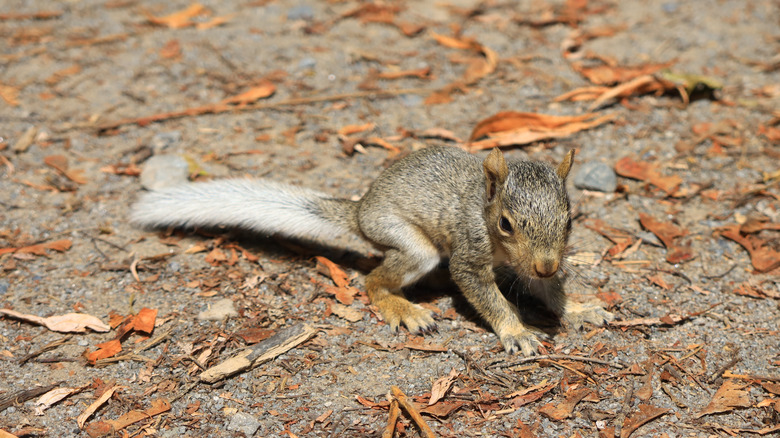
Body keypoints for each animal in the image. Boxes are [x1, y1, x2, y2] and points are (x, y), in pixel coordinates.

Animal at [131, 146, 613, 355]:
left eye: (570, 220)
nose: (547, 265)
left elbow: (550, 292)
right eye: (505, 224)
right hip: (409, 244)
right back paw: (405, 310)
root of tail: (361, 211)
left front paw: (580, 308)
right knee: (374, 281)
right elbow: (484, 293)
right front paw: (516, 332)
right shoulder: (470, 253)